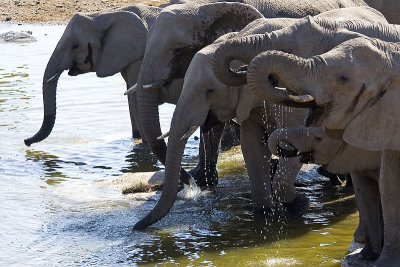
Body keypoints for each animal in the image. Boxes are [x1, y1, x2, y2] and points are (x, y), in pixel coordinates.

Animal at [131, 7, 388, 231]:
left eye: (210, 91)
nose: (136, 227)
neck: (242, 36)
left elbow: (298, 140)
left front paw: (298, 205)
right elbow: (252, 147)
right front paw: (264, 213)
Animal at [242, 36, 400, 267]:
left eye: (343, 78)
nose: (274, 81)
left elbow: (387, 186)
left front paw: (382, 263)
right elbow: (381, 186)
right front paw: (364, 257)